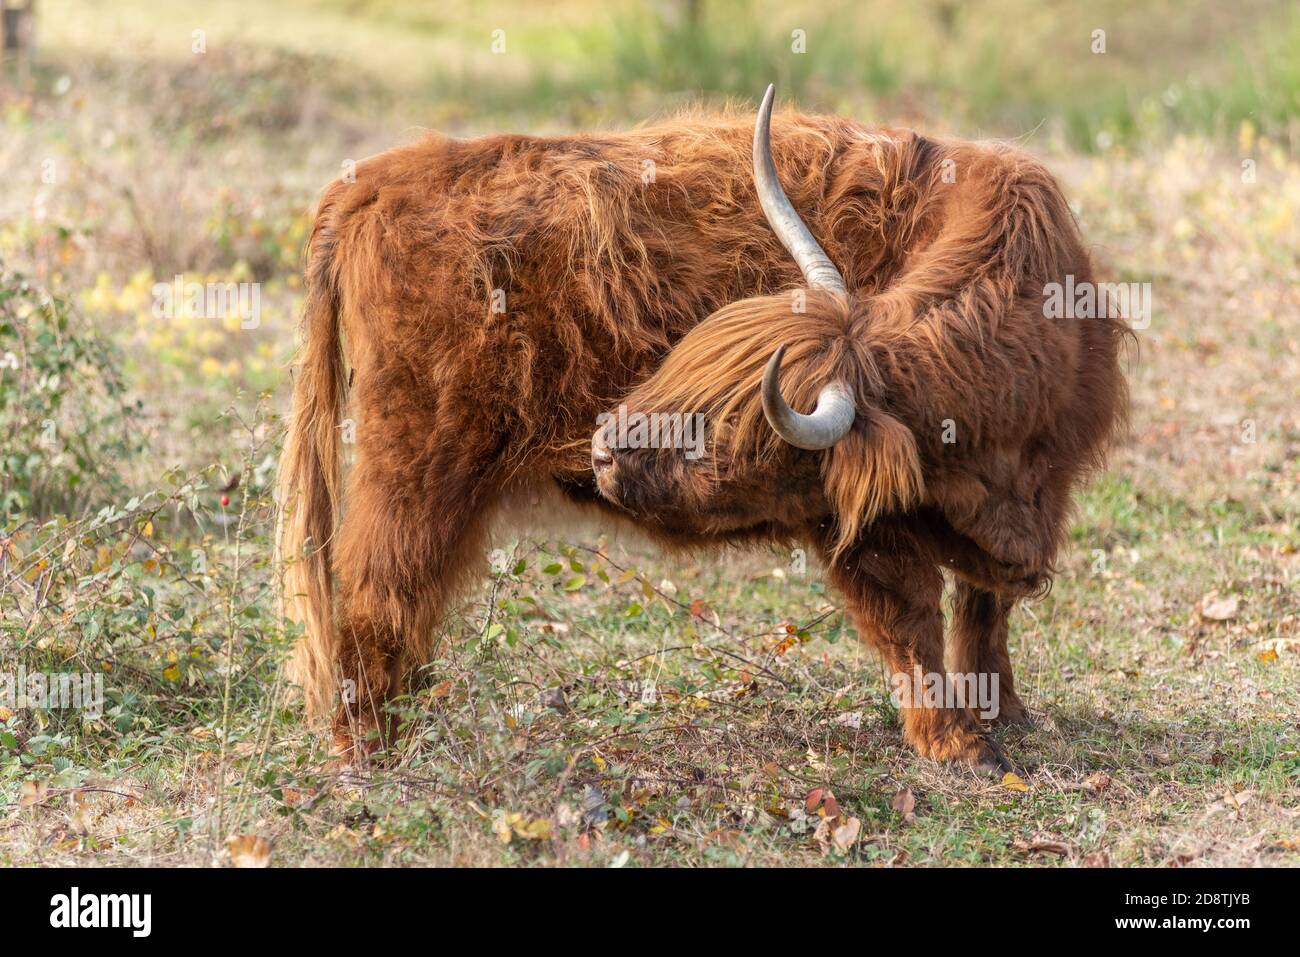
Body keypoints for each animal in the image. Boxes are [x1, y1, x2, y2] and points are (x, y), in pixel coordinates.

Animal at [278, 86, 1128, 771]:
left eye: (725, 424)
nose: (602, 447)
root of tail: (376, 180)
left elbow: (985, 607)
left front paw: (1006, 711)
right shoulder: (859, 523)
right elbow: (911, 616)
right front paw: (957, 744)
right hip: (415, 460)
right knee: (376, 589)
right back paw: (372, 748)